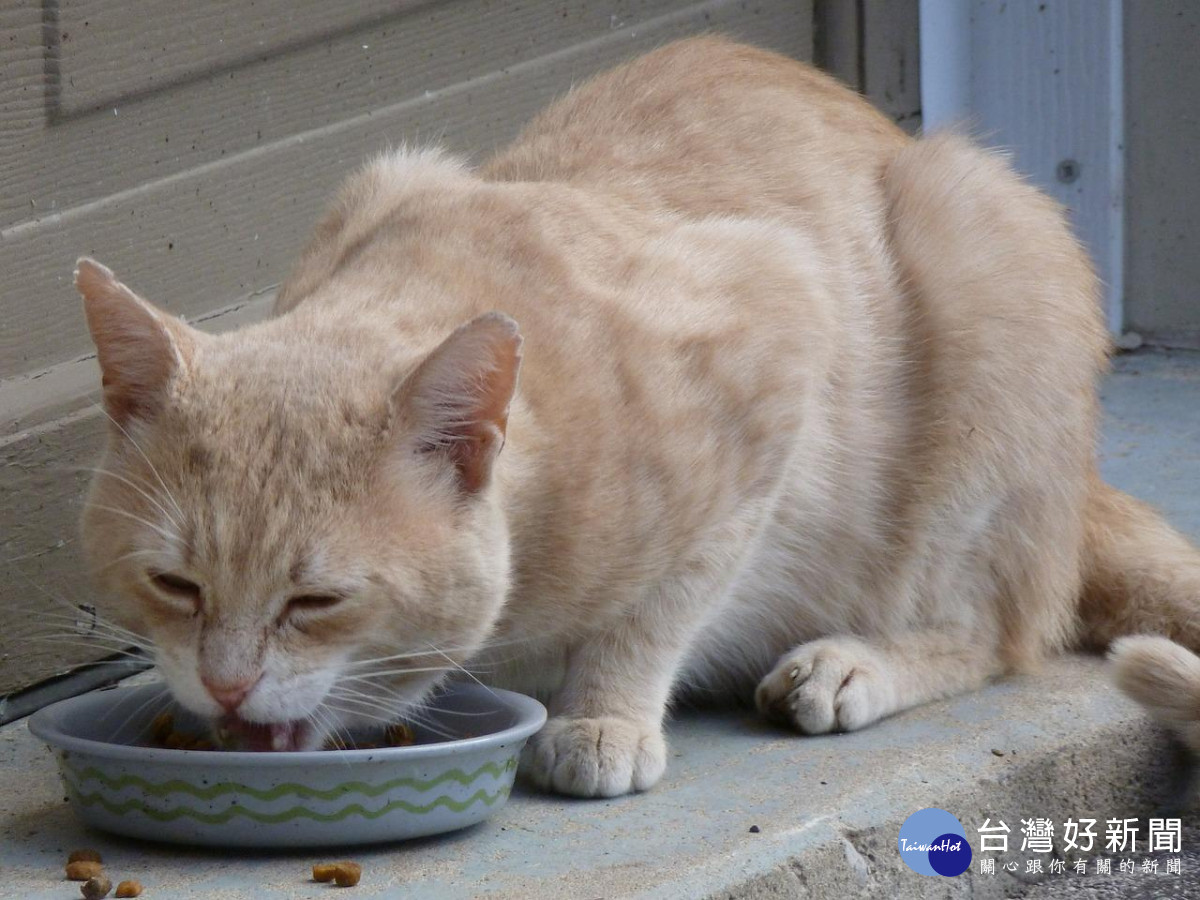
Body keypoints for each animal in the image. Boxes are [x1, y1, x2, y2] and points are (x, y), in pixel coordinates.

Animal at [72, 37, 1200, 796]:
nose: (224, 689)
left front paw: (602, 717)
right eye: (175, 586)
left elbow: (659, 608)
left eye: (317, 602)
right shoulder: (386, 172)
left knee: (998, 628)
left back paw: (854, 662)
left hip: (979, 265)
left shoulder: (778, 340)